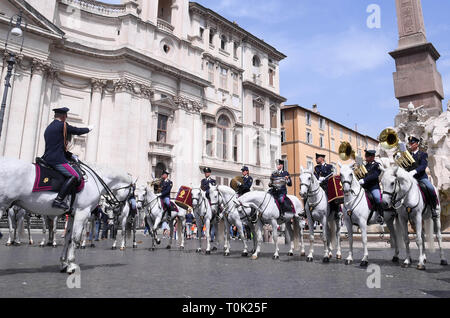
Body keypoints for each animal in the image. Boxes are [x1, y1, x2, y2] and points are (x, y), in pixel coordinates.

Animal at [0, 157, 134, 274]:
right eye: (130, 193)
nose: (119, 209)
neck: (94, 180)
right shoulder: (82, 212)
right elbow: (74, 238)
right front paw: (72, 264)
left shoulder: (73, 215)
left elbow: (68, 238)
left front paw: (64, 263)